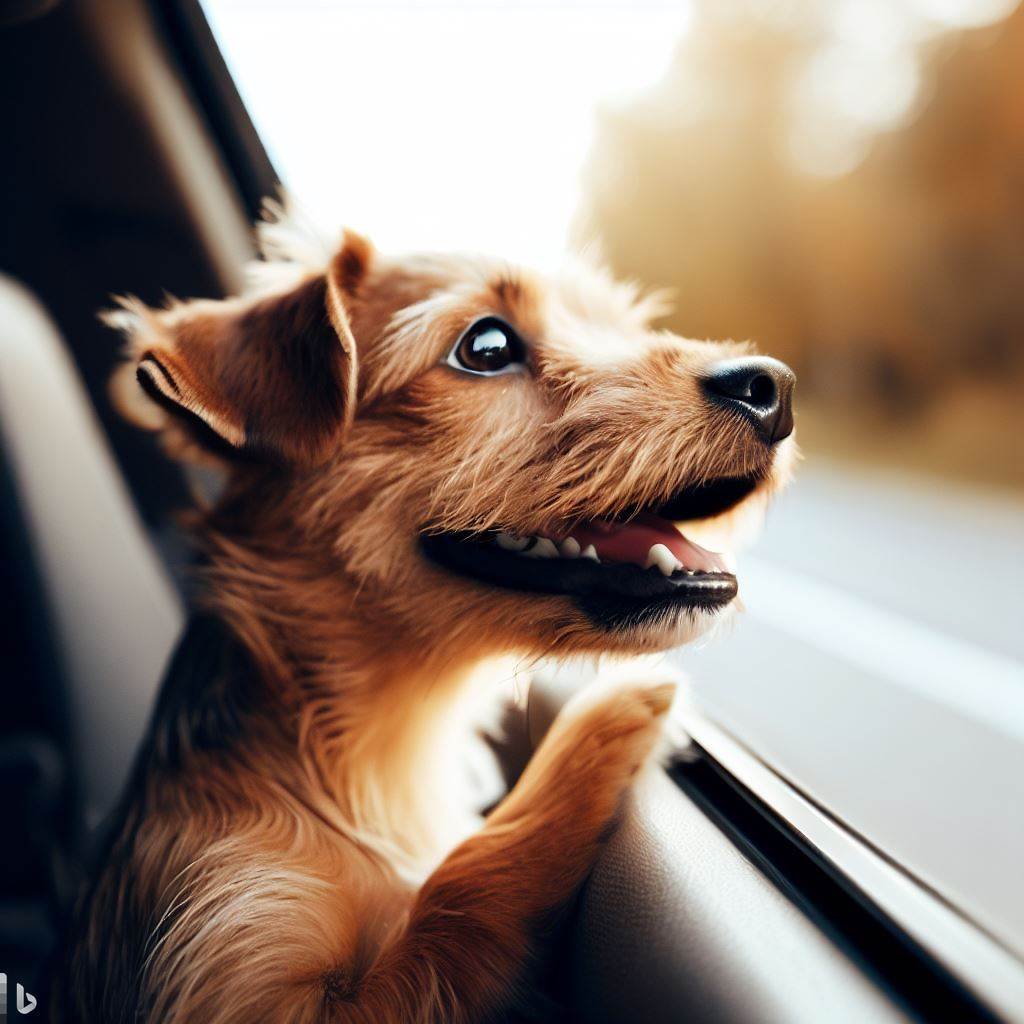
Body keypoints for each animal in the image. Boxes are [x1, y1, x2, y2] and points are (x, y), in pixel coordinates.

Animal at [51, 203, 794, 1019]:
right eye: (487, 347)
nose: (771, 386)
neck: (359, 757)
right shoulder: (240, 960)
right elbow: (456, 891)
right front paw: (604, 722)